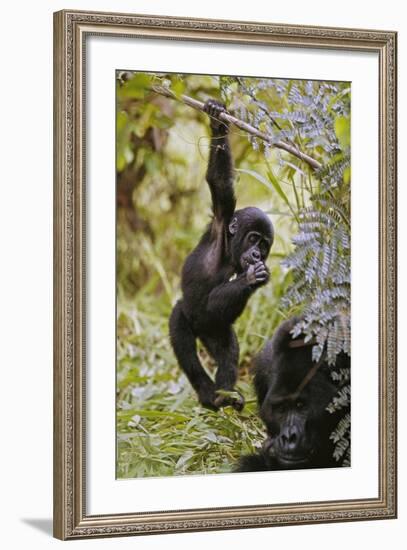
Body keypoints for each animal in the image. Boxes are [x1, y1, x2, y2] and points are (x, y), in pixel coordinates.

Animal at [169, 99, 274, 412]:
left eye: (265, 245)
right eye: (253, 238)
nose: (257, 254)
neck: (230, 251)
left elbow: (218, 305)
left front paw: (255, 277)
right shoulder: (221, 216)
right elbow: (220, 182)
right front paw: (217, 121)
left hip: (212, 331)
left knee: (227, 347)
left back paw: (225, 395)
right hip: (188, 318)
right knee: (184, 340)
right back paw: (208, 395)